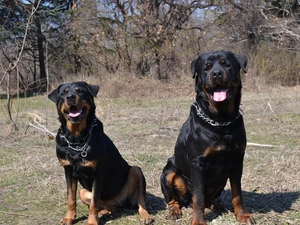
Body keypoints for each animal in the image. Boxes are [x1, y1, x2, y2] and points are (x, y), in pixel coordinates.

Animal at [49, 81, 154, 225]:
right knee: (110, 206)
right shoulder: (68, 171)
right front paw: (69, 218)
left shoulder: (97, 173)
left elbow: (94, 202)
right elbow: (71, 198)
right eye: (63, 93)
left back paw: (145, 216)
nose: (70, 97)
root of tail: (118, 201)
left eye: (80, 91)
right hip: (84, 192)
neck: (77, 138)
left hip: (136, 171)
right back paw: (105, 212)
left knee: (140, 201)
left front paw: (92, 221)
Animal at [161, 51, 254, 225]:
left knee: (207, 199)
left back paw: (215, 205)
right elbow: (198, 198)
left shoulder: (237, 160)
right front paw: (198, 221)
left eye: (227, 64)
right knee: (176, 199)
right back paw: (174, 211)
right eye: (207, 68)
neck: (221, 120)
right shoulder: (198, 163)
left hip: (221, 180)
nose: (216, 73)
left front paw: (243, 215)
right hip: (168, 172)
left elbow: (237, 194)